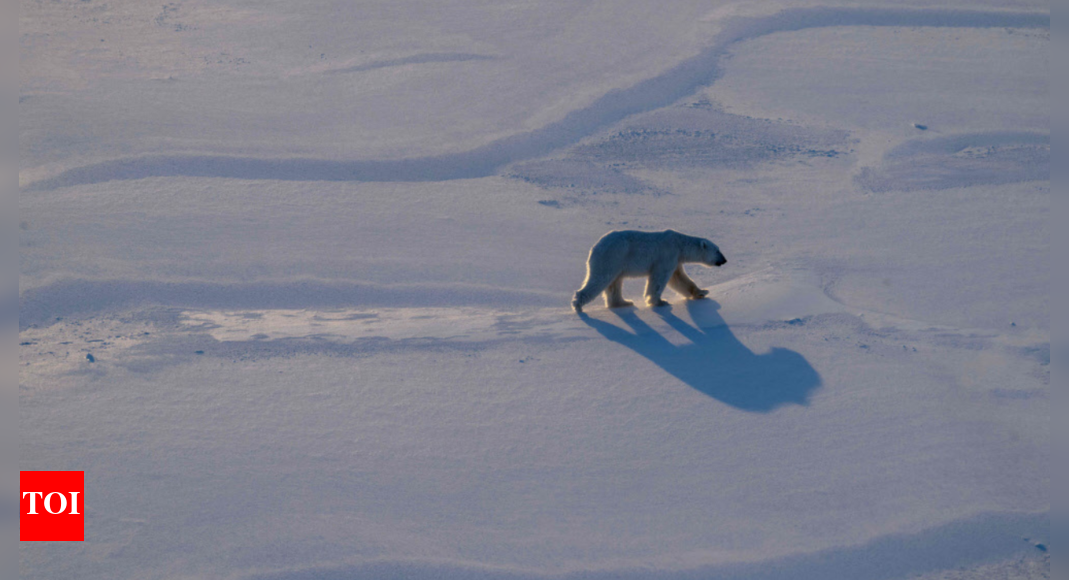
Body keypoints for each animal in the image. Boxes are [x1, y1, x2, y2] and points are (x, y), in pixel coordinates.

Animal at [572, 229, 726, 312]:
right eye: (717, 250)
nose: (724, 260)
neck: (679, 244)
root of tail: (594, 248)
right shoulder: (666, 255)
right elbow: (659, 279)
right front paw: (660, 302)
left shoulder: (675, 259)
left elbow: (679, 279)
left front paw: (702, 292)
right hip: (611, 258)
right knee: (600, 279)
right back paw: (578, 305)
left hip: (616, 263)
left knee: (615, 283)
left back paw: (623, 302)